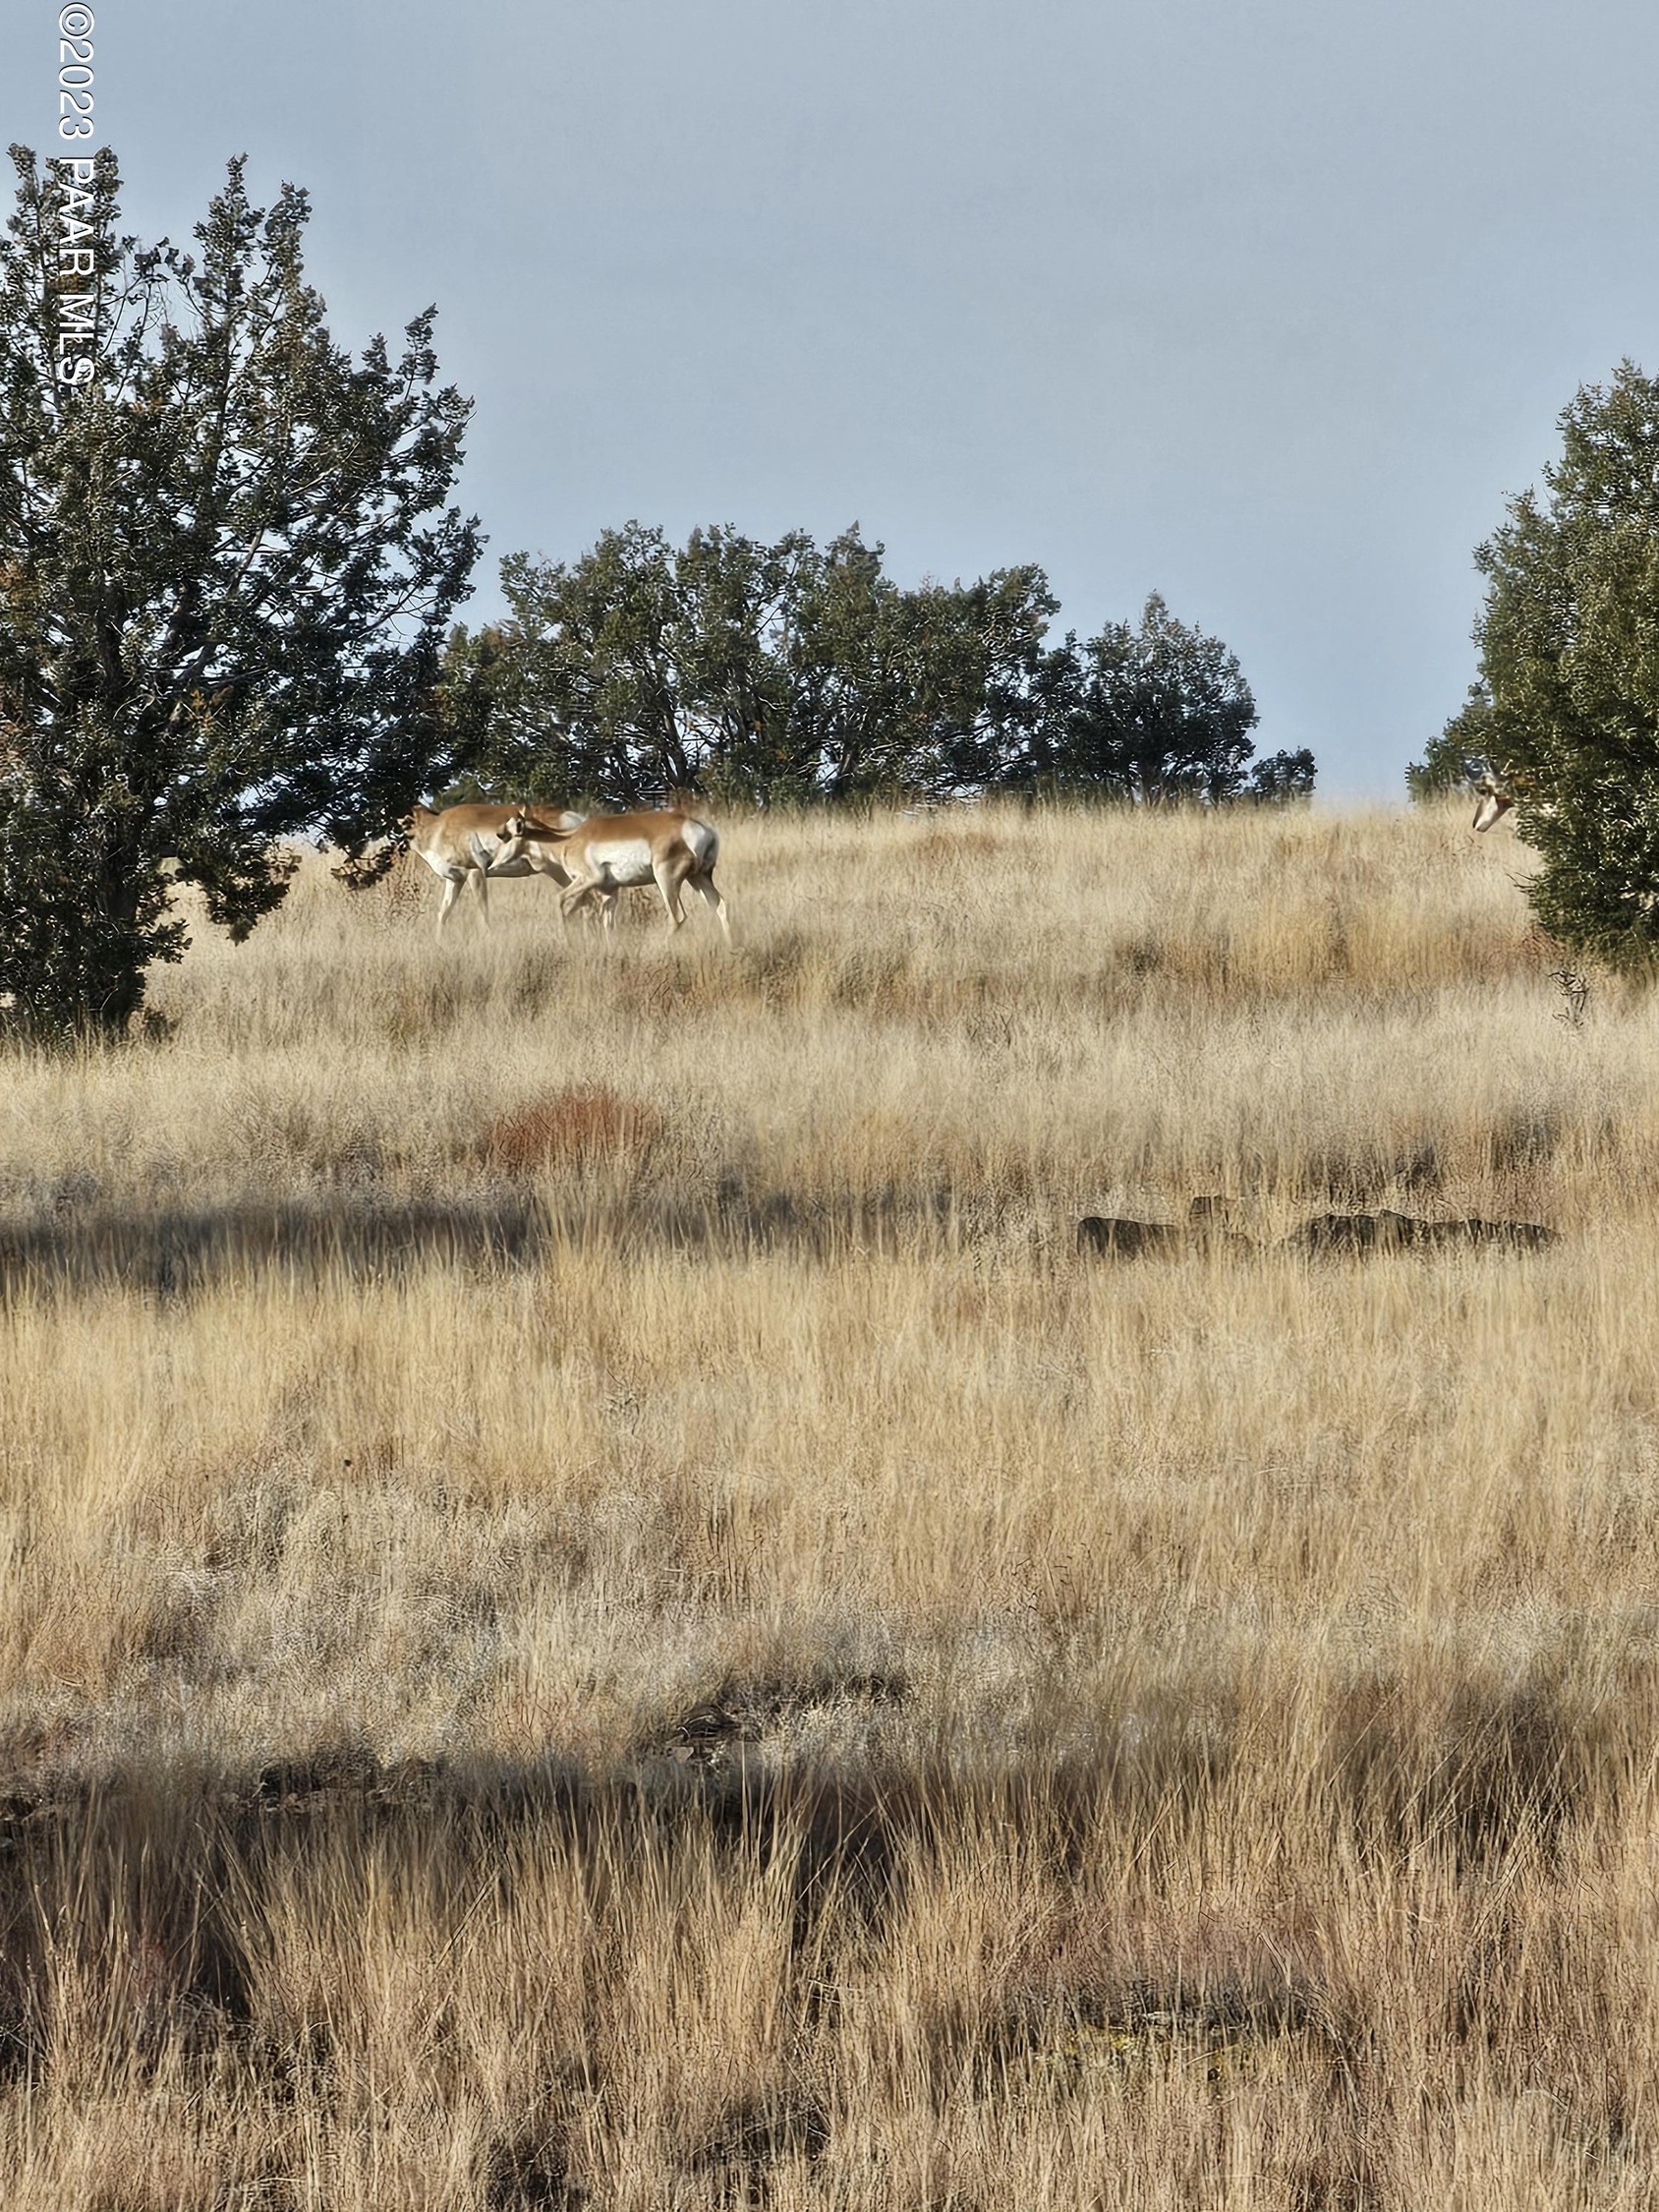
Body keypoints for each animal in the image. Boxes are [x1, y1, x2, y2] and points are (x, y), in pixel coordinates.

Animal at [486, 809, 734, 938]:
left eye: (504, 835)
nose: (489, 864)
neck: (568, 839)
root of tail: (700, 827)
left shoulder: (587, 880)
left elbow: (560, 900)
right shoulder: (610, 891)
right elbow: (608, 924)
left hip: (667, 880)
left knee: (678, 917)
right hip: (698, 878)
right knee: (720, 906)